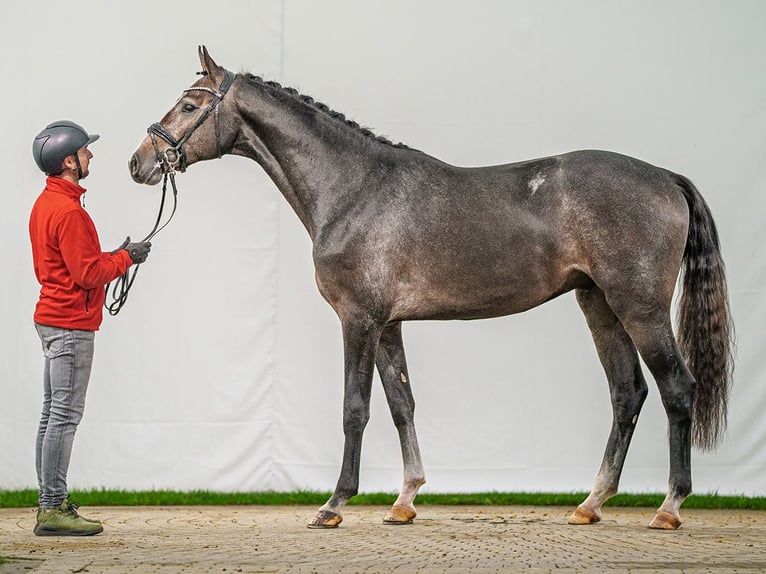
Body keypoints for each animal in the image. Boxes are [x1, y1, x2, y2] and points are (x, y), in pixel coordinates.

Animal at [129, 47, 736, 532]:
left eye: (190, 106)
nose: (139, 162)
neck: (354, 189)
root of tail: (665, 177)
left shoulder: (359, 320)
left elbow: (355, 408)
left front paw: (334, 505)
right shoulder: (388, 324)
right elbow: (402, 404)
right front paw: (405, 501)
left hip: (640, 308)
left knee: (677, 388)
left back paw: (669, 508)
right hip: (600, 305)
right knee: (627, 393)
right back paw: (591, 503)